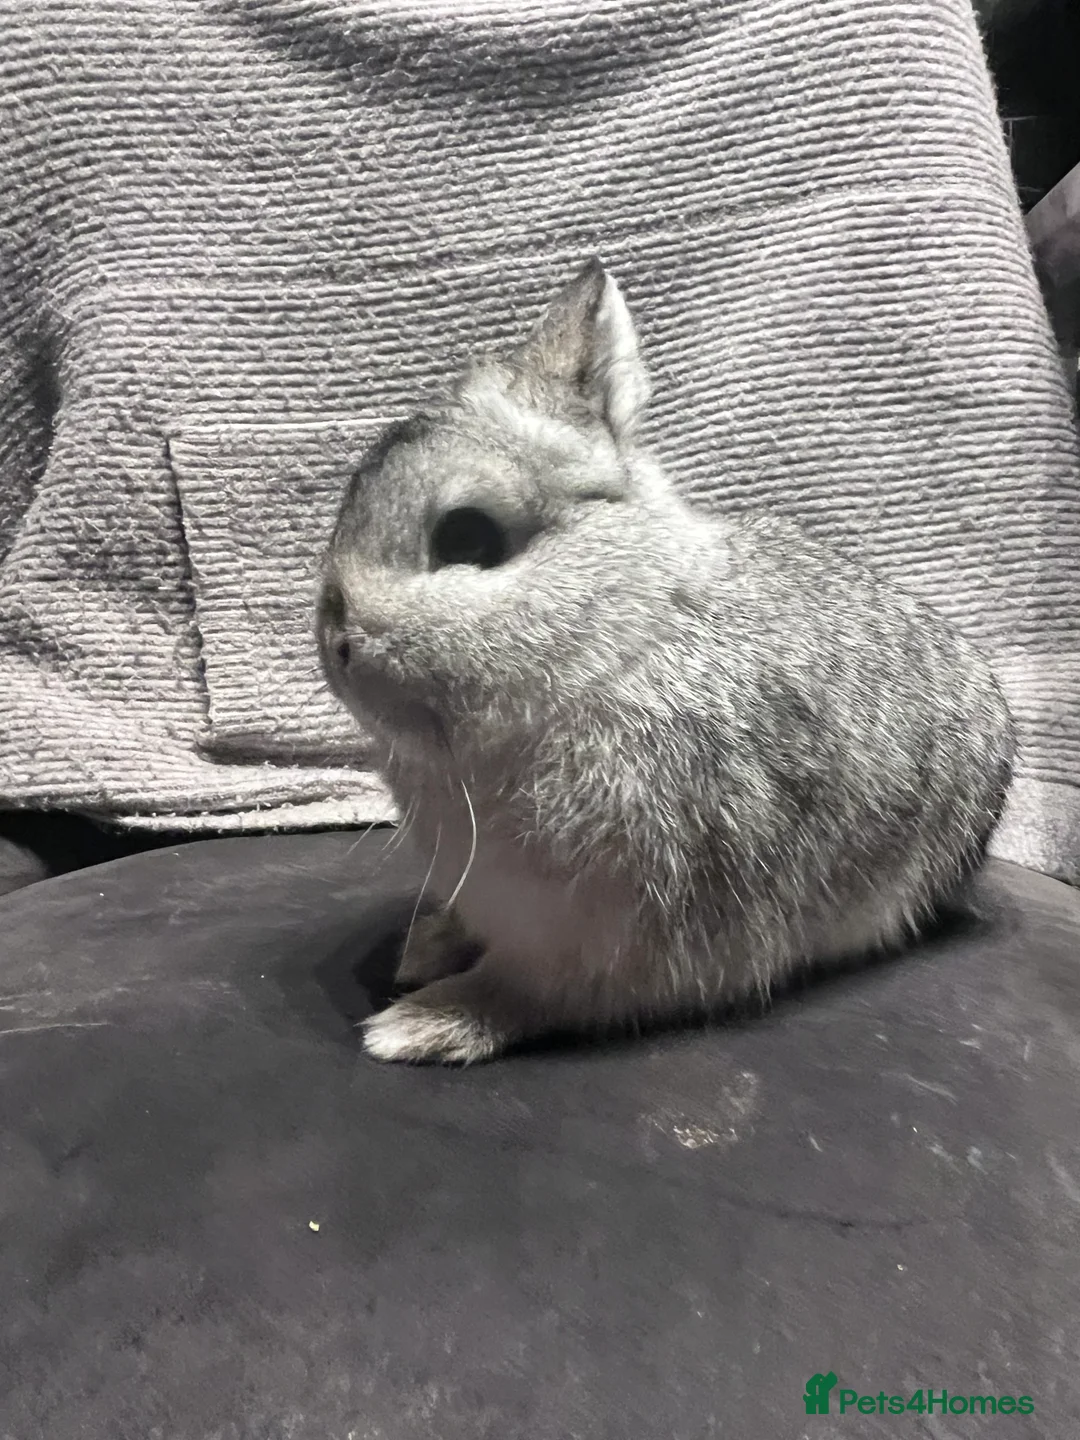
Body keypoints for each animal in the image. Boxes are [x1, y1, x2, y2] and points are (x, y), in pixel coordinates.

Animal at [317, 259, 1016, 1065]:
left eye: (467, 539)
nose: (334, 642)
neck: (609, 647)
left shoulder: (616, 931)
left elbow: (532, 993)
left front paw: (419, 1025)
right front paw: (425, 950)